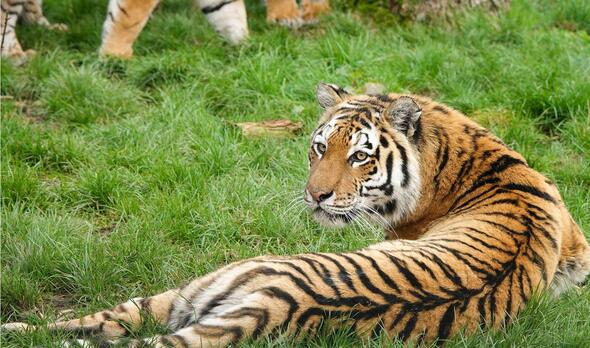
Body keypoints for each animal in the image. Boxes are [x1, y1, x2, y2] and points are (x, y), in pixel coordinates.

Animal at [2, 83, 588, 346]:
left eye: (360, 157)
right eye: (319, 147)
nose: (317, 196)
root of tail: (277, 303)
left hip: (199, 285)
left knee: (90, 324)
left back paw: (14, 327)